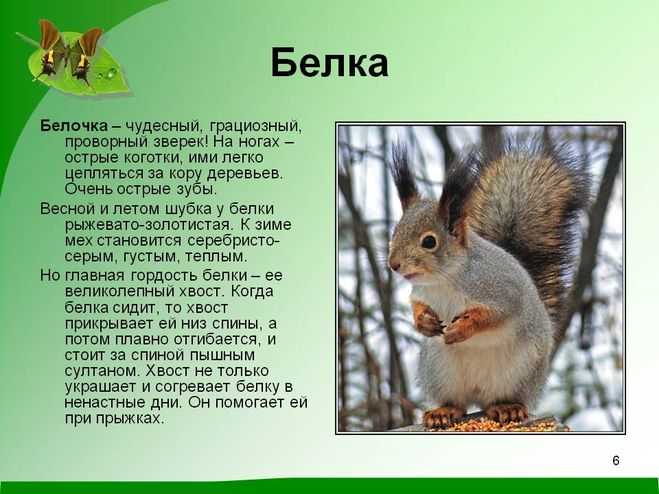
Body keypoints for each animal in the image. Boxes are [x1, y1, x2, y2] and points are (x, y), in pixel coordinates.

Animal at [388, 136, 590, 429]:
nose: (394, 264)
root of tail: (479, 394)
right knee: (457, 402)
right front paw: (424, 322)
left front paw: (463, 328)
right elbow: (416, 305)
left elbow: (493, 315)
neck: (444, 279)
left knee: (500, 399)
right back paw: (443, 411)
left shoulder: (501, 290)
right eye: (394, 233)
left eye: (429, 241)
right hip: (440, 371)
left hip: (521, 371)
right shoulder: (420, 292)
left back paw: (507, 408)